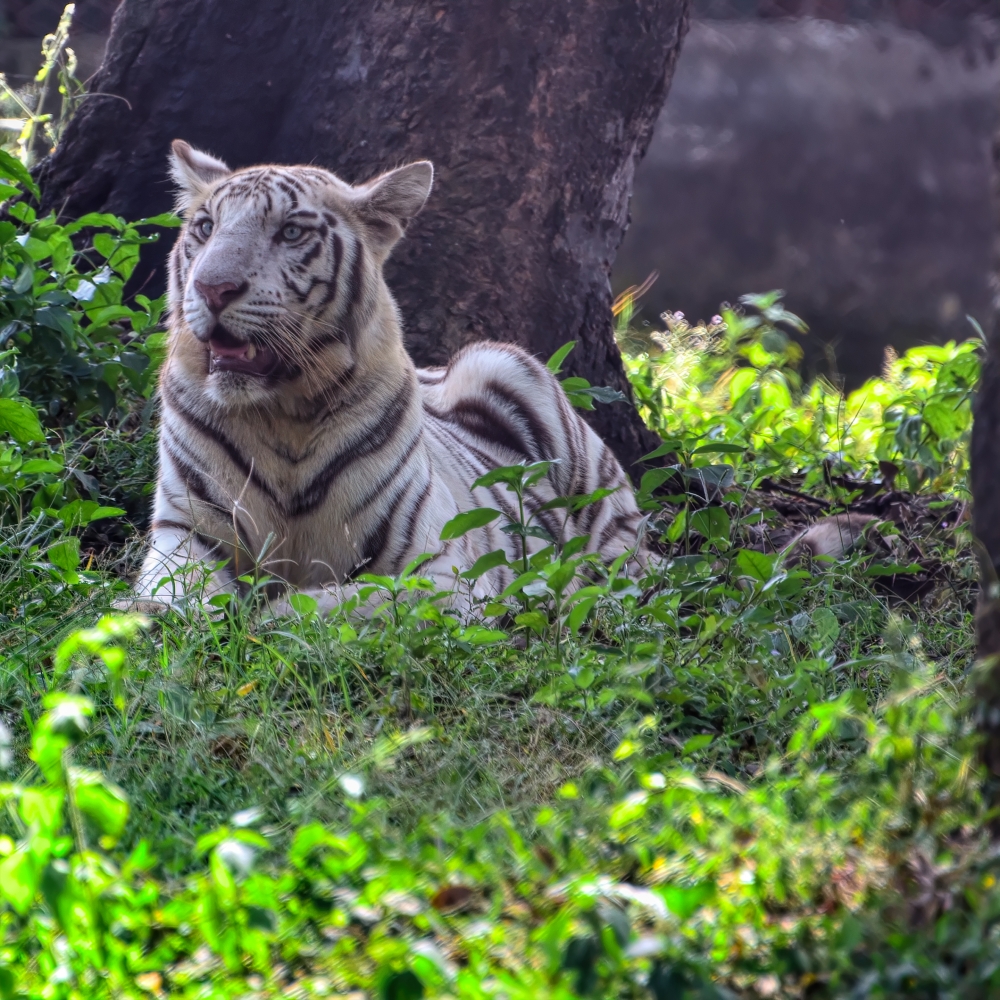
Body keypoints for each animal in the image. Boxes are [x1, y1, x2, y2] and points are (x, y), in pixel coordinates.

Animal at [129, 140, 648, 616]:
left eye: (291, 232)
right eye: (205, 227)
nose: (212, 289)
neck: (282, 414)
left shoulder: (443, 568)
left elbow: (341, 602)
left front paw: (265, 615)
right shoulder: (185, 532)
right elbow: (170, 595)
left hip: (510, 373)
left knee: (623, 567)